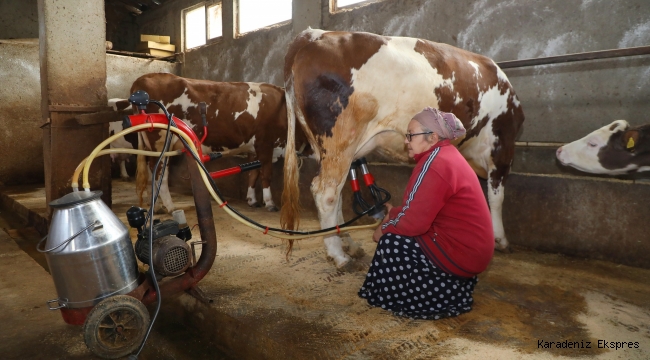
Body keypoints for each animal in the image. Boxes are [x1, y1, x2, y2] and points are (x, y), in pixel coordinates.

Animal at [125, 73, 310, 214]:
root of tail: (143, 79)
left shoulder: (254, 148)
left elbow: (253, 174)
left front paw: (252, 200)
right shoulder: (265, 143)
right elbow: (266, 174)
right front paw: (270, 203)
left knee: (153, 173)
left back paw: (157, 206)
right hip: (161, 143)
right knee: (160, 175)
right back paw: (170, 207)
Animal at [280, 29, 524, 268]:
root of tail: (314, 35)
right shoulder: (502, 145)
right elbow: (496, 197)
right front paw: (500, 240)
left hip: (332, 149)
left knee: (336, 193)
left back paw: (349, 244)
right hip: (340, 140)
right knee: (326, 193)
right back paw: (338, 254)